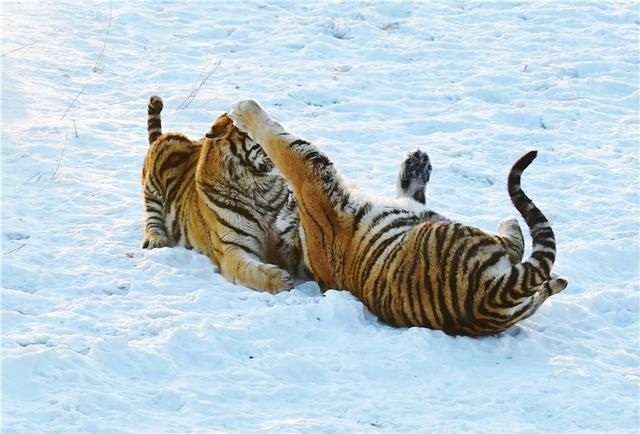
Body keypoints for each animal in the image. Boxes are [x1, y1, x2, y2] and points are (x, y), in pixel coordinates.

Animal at [141, 96, 436, 294]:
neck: (257, 185)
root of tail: (188, 140)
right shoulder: (232, 249)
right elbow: (249, 270)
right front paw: (278, 280)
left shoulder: (291, 238)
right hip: (162, 156)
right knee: (151, 212)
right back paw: (156, 239)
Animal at [228, 100, 568, 338]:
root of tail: (494, 295)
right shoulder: (314, 180)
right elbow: (283, 145)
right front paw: (244, 110)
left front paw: (416, 163)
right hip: (449, 230)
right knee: (515, 244)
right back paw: (512, 225)